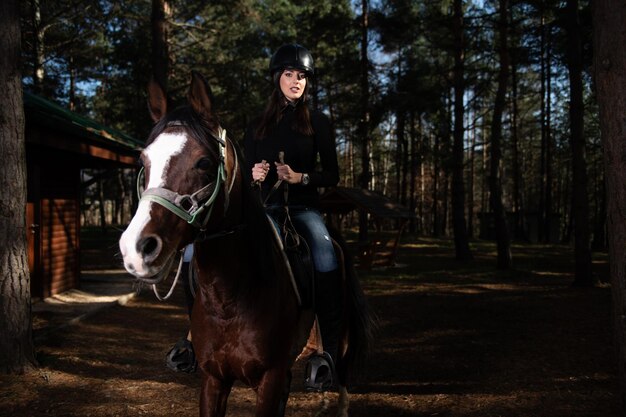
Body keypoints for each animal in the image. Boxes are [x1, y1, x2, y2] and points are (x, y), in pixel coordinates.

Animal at [117, 73, 372, 416]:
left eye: (204, 162)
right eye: (144, 161)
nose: (137, 248)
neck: (231, 298)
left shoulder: (269, 379)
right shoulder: (213, 379)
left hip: (339, 338)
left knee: (342, 374)